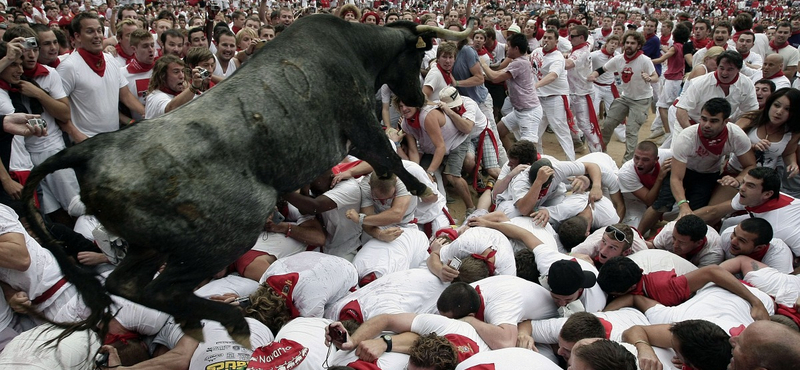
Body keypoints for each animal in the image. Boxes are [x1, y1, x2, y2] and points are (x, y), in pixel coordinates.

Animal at [21, 14, 472, 344]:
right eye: (418, 61)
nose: (416, 98)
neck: (355, 50)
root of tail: (88, 151)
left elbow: (382, 165)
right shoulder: (361, 125)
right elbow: (392, 158)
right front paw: (421, 189)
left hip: (147, 246)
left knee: (125, 283)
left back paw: (195, 322)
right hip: (225, 233)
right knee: (162, 289)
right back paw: (231, 321)